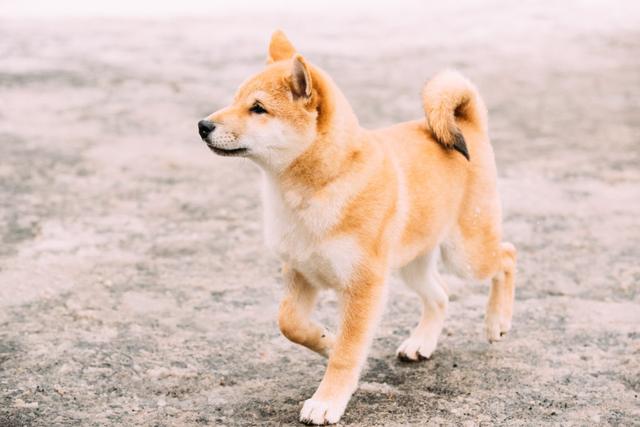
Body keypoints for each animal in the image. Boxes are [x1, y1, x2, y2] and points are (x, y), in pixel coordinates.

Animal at [198, 31, 516, 426]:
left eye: (258, 108)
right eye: (235, 99)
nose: (203, 125)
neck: (317, 188)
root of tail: (468, 124)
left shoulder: (363, 287)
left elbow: (347, 355)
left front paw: (327, 401)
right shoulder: (300, 272)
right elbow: (290, 323)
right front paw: (326, 339)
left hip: (466, 254)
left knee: (506, 257)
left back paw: (497, 321)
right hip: (412, 263)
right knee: (440, 295)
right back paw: (421, 343)